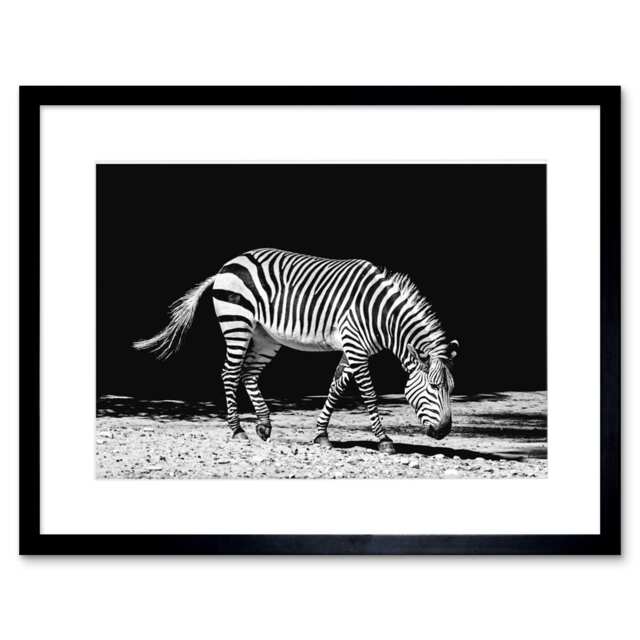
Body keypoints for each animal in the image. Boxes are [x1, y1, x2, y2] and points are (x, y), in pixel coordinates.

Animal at [133, 248, 459, 454]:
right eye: (433, 387)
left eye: (451, 389)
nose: (444, 432)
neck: (381, 315)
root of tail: (228, 264)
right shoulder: (356, 347)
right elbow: (367, 393)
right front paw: (384, 440)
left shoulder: (352, 348)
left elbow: (336, 388)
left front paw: (321, 434)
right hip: (237, 323)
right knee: (229, 372)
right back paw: (237, 429)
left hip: (265, 335)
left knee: (249, 375)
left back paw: (263, 425)